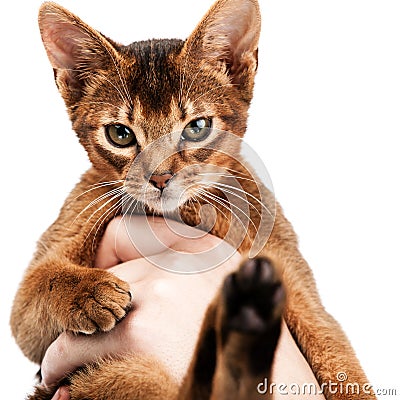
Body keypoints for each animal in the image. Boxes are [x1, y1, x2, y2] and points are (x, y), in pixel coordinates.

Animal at [10, 0, 376, 400]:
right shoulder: (32, 327)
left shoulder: (298, 286)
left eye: (197, 128)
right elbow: (39, 285)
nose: (159, 177)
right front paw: (91, 293)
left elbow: (336, 355)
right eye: (120, 134)